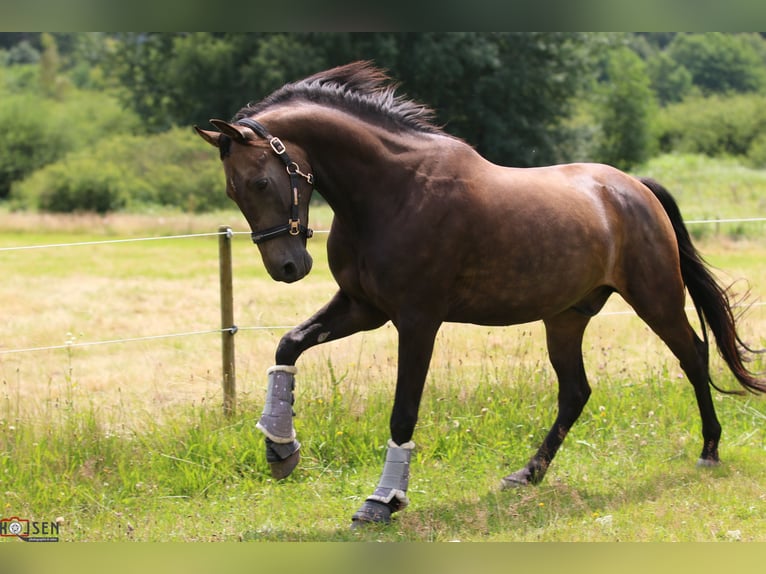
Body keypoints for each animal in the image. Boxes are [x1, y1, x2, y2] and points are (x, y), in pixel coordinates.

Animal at [195, 61, 765, 526]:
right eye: (232, 190)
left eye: (261, 182)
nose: (288, 267)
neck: (390, 192)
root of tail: (635, 188)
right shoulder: (363, 308)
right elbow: (288, 345)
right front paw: (280, 449)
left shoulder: (416, 321)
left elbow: (403, 409)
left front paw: (382, 501)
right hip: (565, 317)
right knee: (576, 391)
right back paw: (528, 473)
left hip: (655, 298)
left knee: (693, 354)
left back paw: (709, 449)